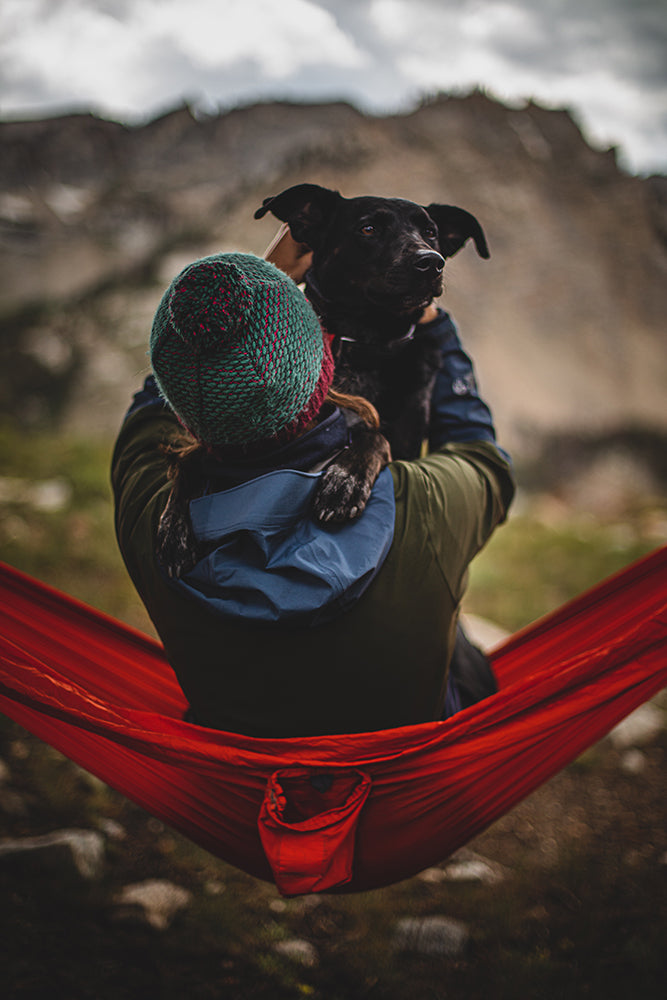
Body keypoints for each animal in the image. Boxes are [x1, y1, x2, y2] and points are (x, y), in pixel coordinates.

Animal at [253, 184, 488, 520]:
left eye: (430, 232)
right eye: (369, 229)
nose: (432, 261)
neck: (362, 341)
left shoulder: (408, 453)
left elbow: (376, 436)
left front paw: (347, 479)